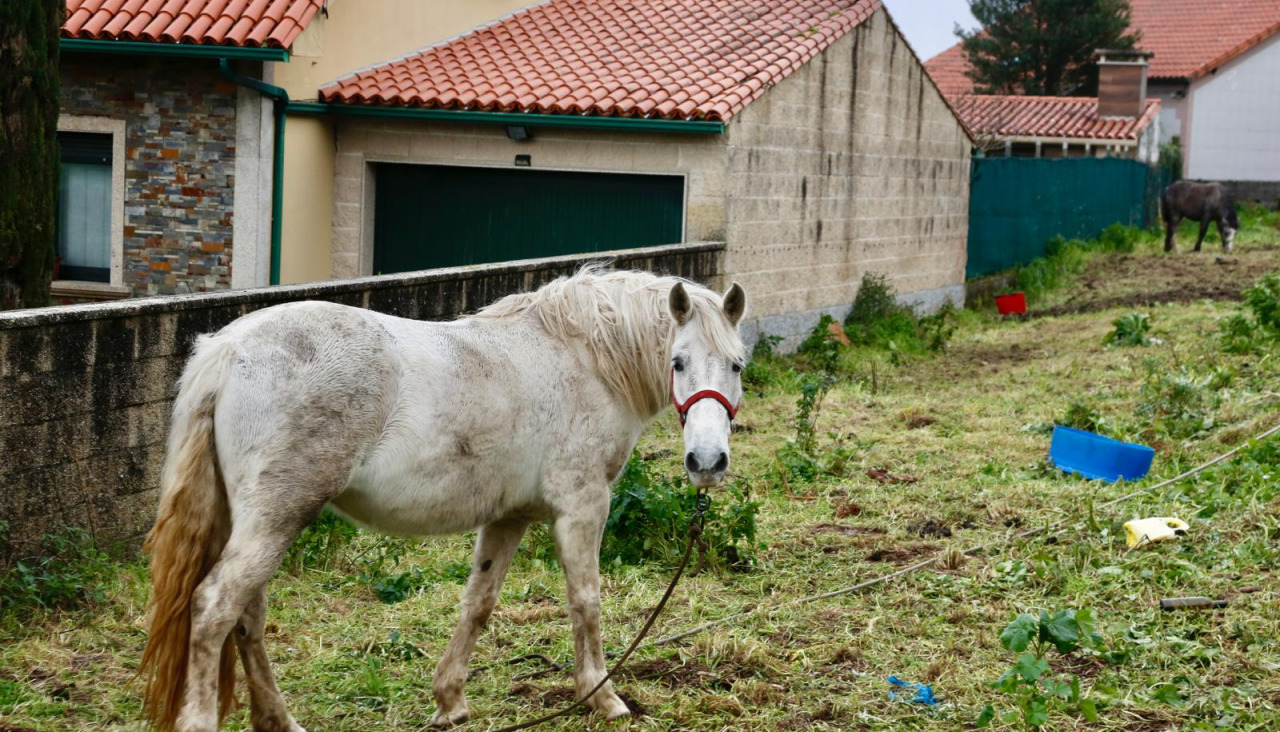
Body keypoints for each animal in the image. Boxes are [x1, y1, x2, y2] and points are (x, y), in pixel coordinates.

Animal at [137, 269, 748, 732]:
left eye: (737, 364)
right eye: (677, 362)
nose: (707, 462)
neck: (583, 357)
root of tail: (228, 349)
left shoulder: (509, 518)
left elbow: (478, 604)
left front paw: (450, 701)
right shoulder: (582, 506)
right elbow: (586, 602)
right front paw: (603, 697)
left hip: (254, 522)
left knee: (247, 618)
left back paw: (279, 721)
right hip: (276, 518)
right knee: (215, 608)